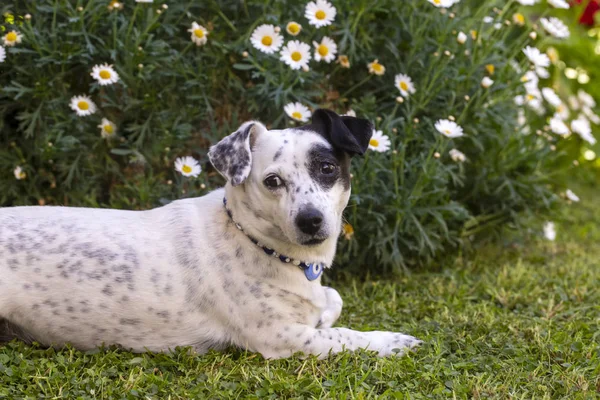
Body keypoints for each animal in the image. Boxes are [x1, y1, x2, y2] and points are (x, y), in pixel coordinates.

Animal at [0, 109, 420, 360]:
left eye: (327, 167)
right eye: (272, 181)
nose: (311, 221)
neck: (254, 240)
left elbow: (333, 300)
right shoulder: (282, 336)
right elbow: (348, 336)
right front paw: (392, 340)